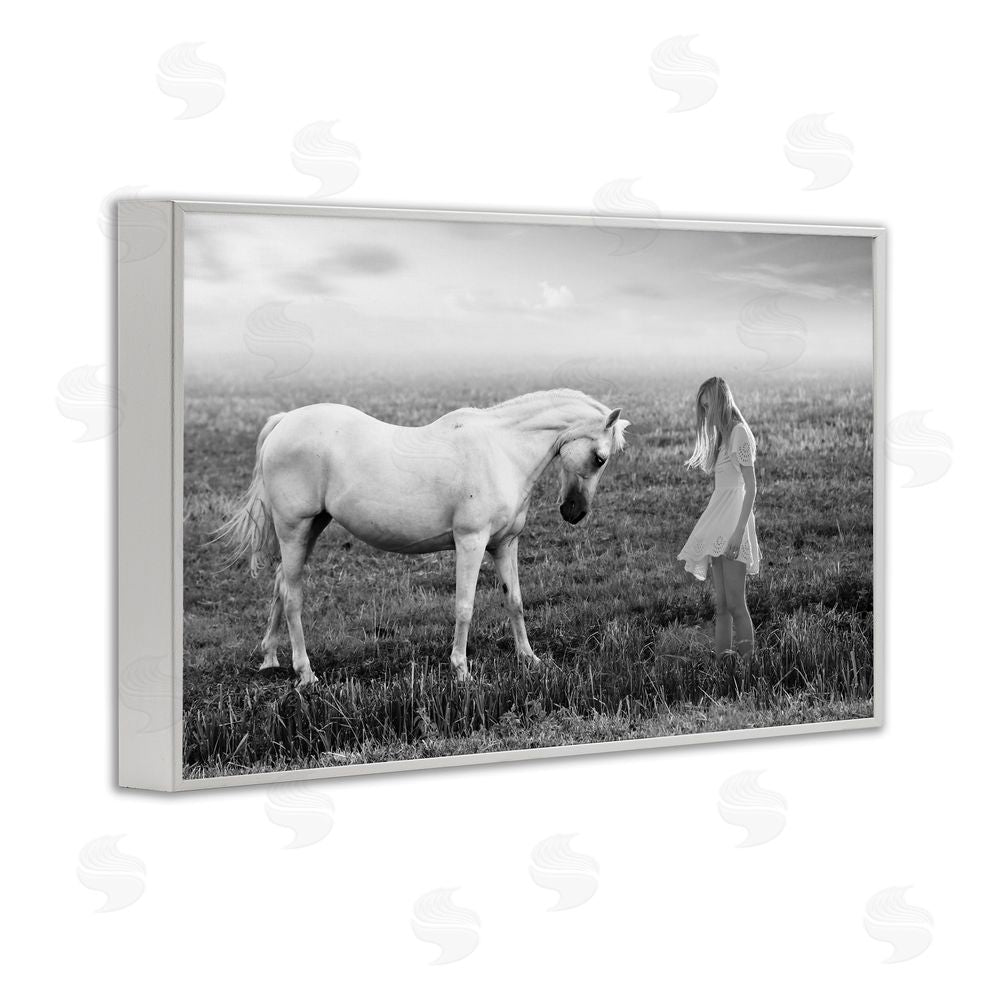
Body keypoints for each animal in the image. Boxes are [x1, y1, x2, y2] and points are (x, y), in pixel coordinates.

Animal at [217, 388, 630, 688]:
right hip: (295, 529)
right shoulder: (470, 542)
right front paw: (461, 670)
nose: (574, 512)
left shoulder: (504, 544)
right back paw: (305, 674)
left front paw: (529, 659)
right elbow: (464, 607)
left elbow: (515, 601)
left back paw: (270, 658)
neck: (502, 451)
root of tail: (284, 421)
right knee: (292, 598)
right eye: (600, 458)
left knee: (280, 585)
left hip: (311, 527)